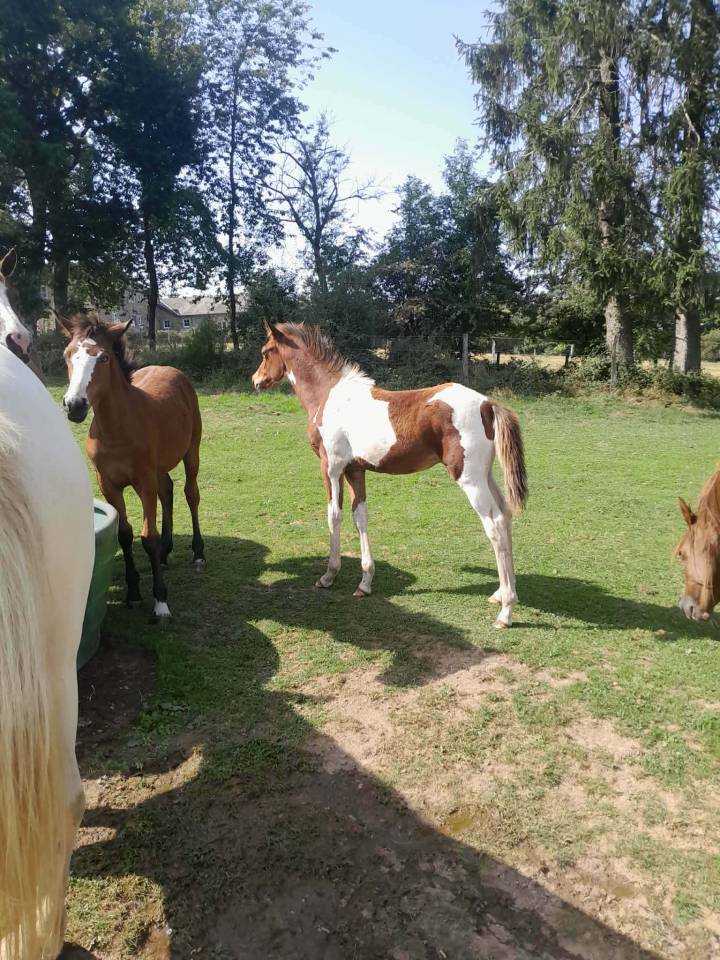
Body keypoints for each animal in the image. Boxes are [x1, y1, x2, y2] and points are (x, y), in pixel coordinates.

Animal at [60, 314, 205, 621]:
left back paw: (198, 554)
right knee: (168, 491)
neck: (116, 431)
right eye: (68, 354)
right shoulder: (108, 484)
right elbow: (125, 534)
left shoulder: (143, 482)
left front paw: (160, 602)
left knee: (190, 493)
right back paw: (165, 553)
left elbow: (147, 536)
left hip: (191, 451)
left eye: (103, 358)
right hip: (159, 467)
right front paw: (134, 593)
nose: (74, 405)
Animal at [252, 322, 527, 628]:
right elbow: (359, 516)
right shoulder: (355, 469)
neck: (328, 396)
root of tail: (487, 404)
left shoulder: (331, 466)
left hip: (470, 479)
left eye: (265, 351)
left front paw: (328, 576)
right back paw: (500, 594)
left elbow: (334, 515)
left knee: (494, 525)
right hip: (486, 475)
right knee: (506, 515)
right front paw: (364, 583)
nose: (256, 380)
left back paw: (506, 612)